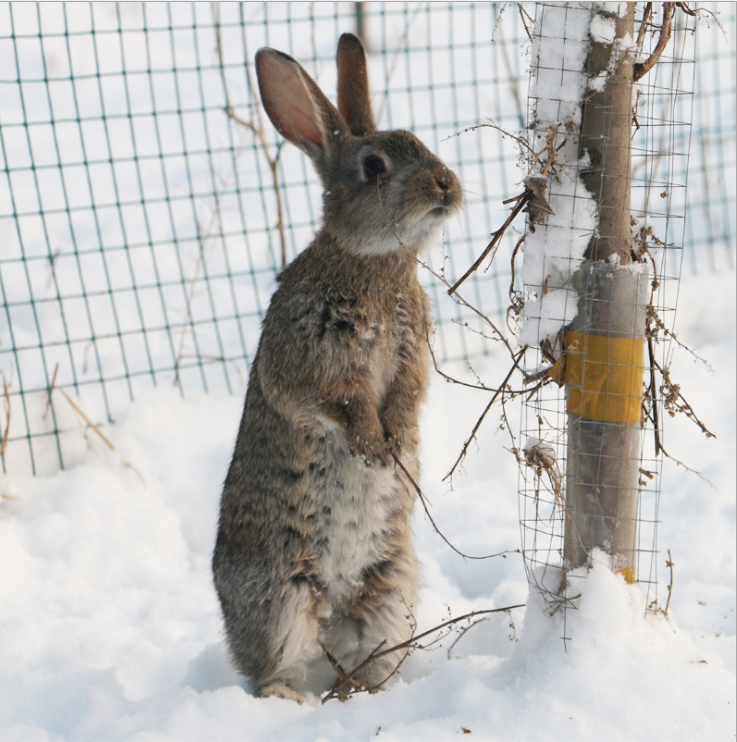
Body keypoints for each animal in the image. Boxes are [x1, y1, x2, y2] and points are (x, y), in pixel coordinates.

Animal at [210, 30, 460, 704]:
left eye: (420, 143)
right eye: (374, 168)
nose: (446, 185)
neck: (370, 261)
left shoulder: (411, 357)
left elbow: (407, 394)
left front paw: (398, 441)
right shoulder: (314, 359)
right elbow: (341, 401)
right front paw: (375, 449)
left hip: (390, 589)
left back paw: (370, 693)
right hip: (281, 596)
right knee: (273, 664)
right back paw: (288, 698)